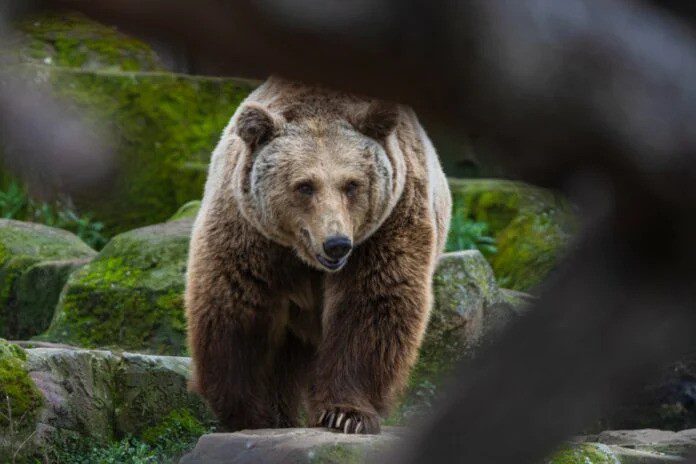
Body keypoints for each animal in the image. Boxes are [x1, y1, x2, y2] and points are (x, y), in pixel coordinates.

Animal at [185, 77, 452, 436]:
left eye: (351, 184)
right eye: (304, 186)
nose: (336, 244)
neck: (304, 257)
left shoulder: (387, 224)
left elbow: (370, 305)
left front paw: (346, 414)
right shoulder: (251, 231)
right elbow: (238, 306)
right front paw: (249, 415)